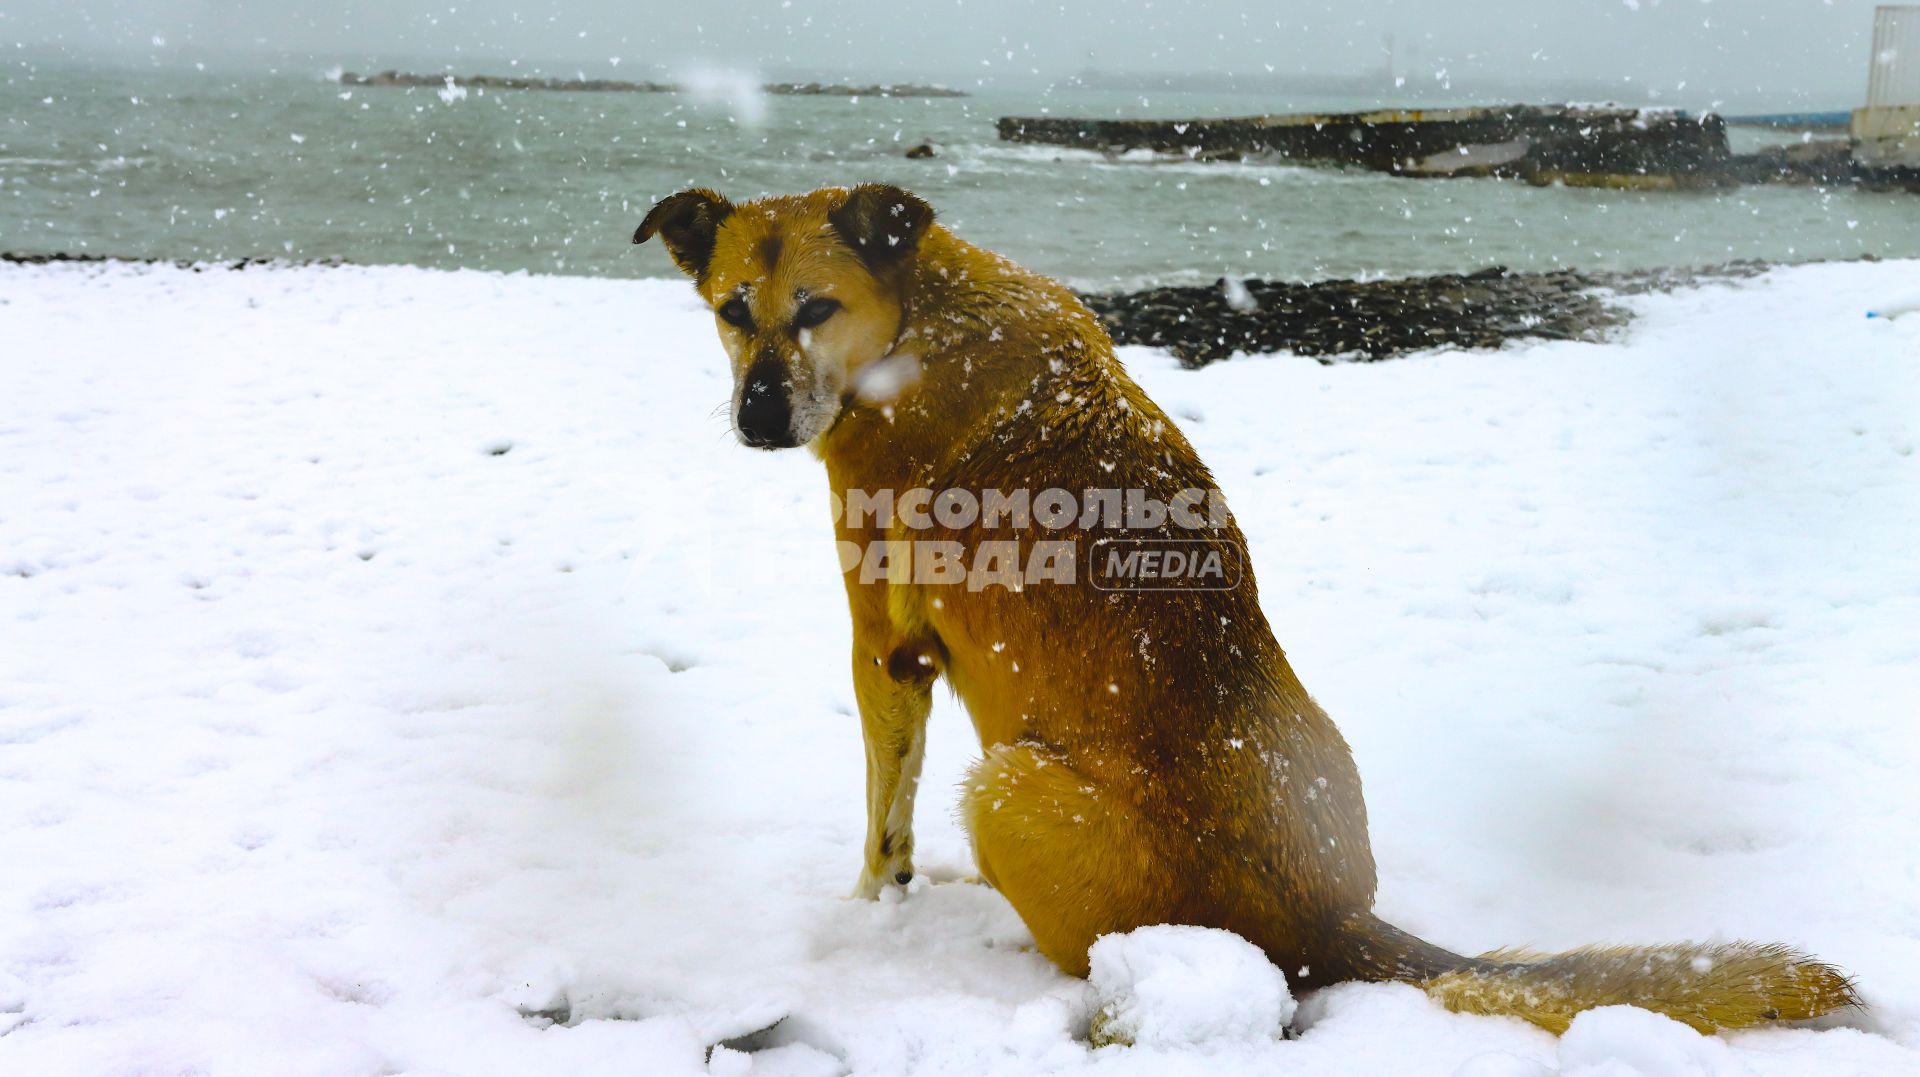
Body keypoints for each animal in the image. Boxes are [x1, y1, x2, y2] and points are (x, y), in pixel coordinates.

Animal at [637, 184, 1850, 1036]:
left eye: (818, 308)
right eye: (732, 312)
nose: (755, 419)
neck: (915, 321)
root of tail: (1336, 926)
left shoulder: (884, 650)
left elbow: (882, 817)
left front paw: (869, 912)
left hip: (1010, 785)